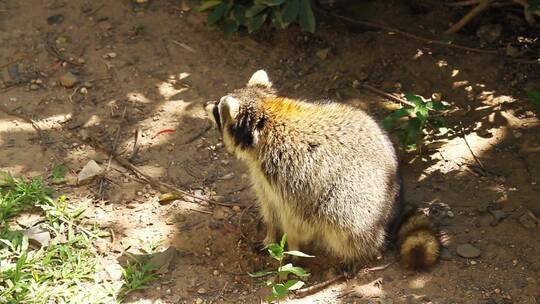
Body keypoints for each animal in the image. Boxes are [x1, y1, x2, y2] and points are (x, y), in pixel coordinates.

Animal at [206, 70, 438, 270]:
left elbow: (294, 219)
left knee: (342, 217)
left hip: (360, 202)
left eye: (217, 111)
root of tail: (394, 205)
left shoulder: (289, 173)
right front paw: (270, 236)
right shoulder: (261, 174)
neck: (266, 117)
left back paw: (355, 255)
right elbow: (269, 206)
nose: (205, 104)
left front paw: (292, 250)